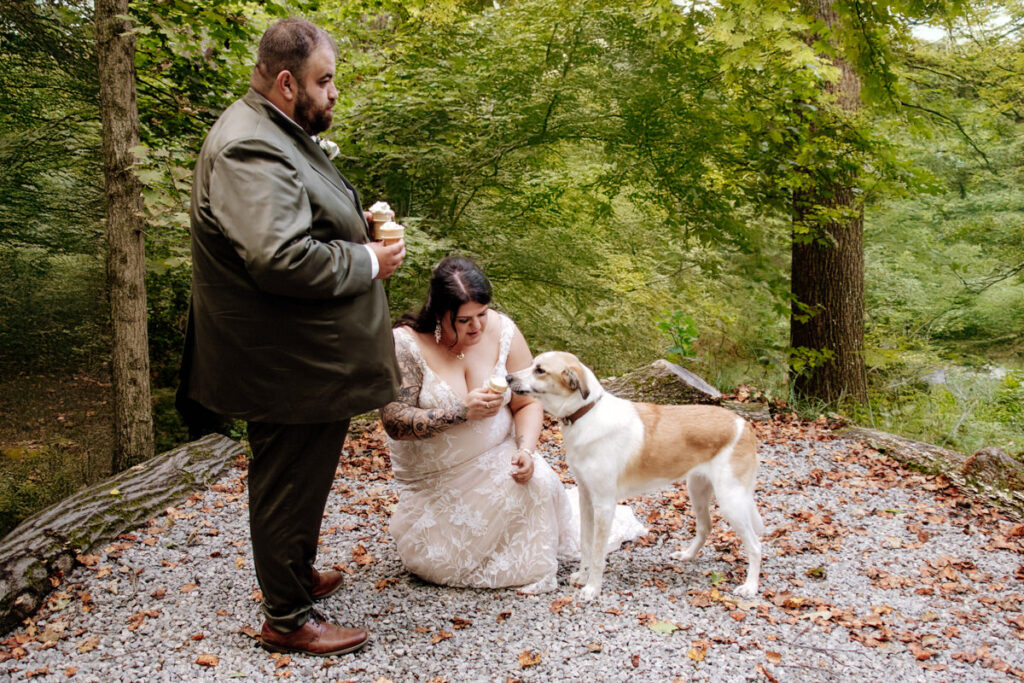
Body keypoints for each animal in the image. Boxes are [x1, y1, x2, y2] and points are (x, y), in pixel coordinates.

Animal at [507, 352, 765, 598]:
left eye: (540, 370)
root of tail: (743, 423)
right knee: (705, 527)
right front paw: (582, 576)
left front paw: (592, 588)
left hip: (731, 500)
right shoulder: (586, 499)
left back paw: (750, 587)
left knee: (755, 545)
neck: (587, 414)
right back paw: (687, 555)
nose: (508, 377)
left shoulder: (604, 505)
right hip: (697, 490)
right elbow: (586, 544)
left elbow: (598, 552)